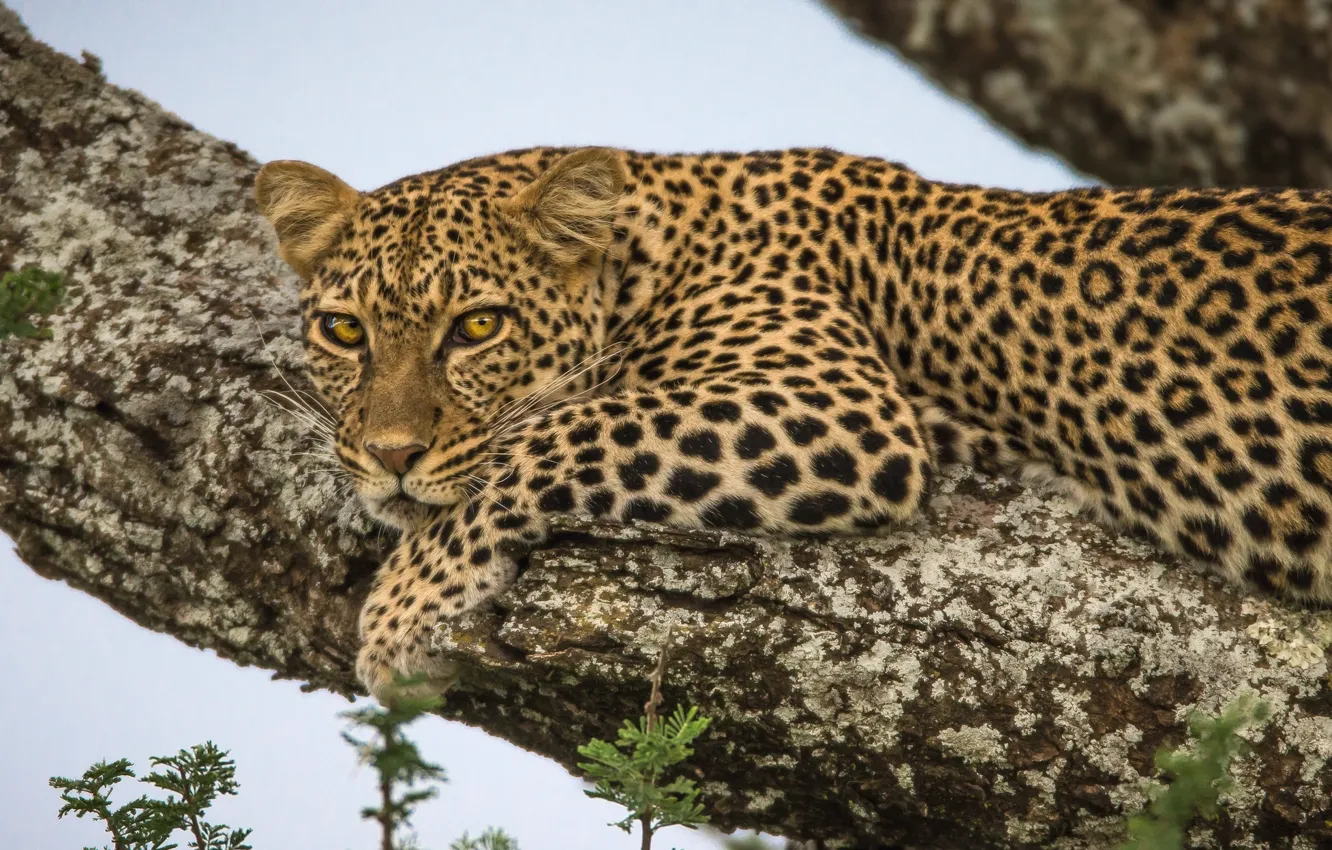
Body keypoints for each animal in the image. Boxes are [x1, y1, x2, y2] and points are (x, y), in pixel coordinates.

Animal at [253, 145, 1332, 702]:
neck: (653, 246)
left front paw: (402, 609)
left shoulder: (838, 405)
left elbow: (550, 432)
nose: (391, 456)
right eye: (344, 331)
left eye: (477, 326)